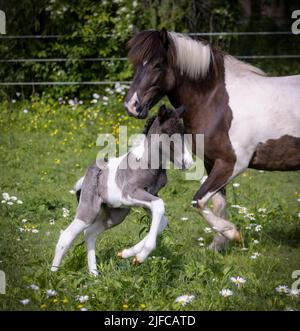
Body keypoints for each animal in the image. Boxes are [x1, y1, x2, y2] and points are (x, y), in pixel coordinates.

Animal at [50, 105, 193, 274]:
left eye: (183, 132)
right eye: (169, 133)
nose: (188, 163)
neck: (147, 162)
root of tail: (86, 177)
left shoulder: (149, 196)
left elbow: (161, 222)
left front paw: (126, 254)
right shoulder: (130, 193)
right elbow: (159, 206)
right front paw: (140, 257)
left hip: (115, 215)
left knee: (90, 233)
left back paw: (94, 275)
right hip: (89, 210)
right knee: (66, 236)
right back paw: (53, 275)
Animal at [123, 29, 300, 252]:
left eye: (157, 65)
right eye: (137, 64)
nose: (131, 105)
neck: (216, 102)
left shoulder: (232, 164)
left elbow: (198, 201)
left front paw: (233, 234)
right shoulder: (212, 162)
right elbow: (218, 203)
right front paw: (218, 245)